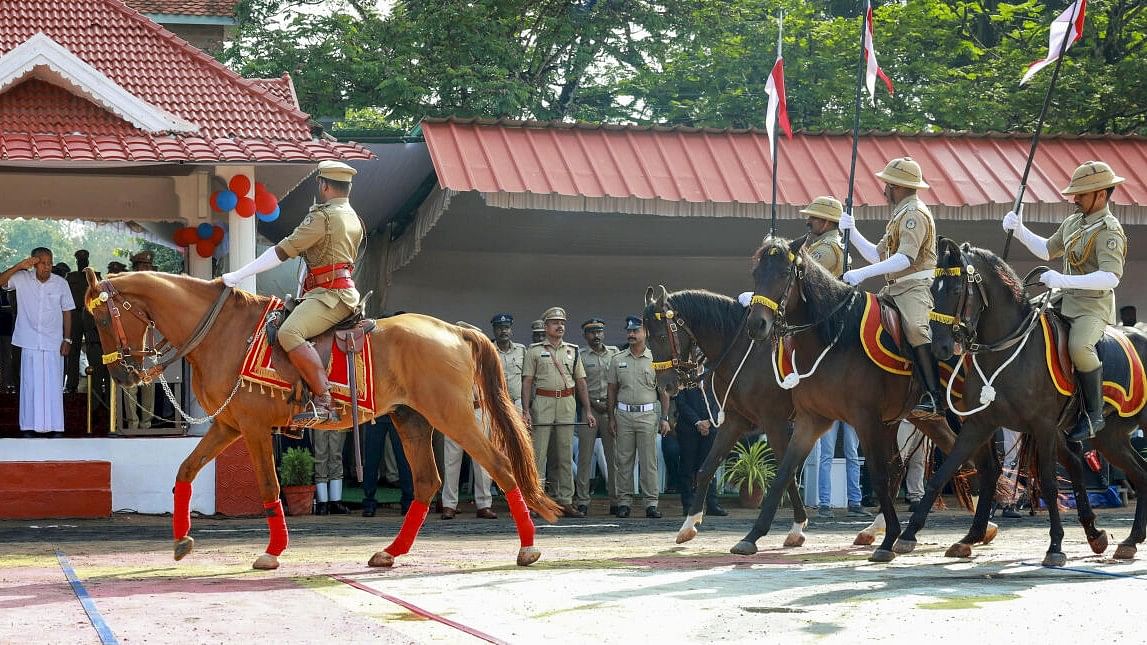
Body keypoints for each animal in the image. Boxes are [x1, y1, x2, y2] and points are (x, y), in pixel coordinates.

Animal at [84, 266, 559, 566]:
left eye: (103, 318)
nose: (120, 374)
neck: (223, 332)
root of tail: (454, 329)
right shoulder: (227, 424)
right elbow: (185, 470)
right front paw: (182, 539)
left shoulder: (254, 428)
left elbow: (269, 487)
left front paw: (272, 551)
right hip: (411, 419)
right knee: (427, 482)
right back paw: (390, 552)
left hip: (453, 415)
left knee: (500, 466)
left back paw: (527, 548)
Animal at [890, 239, 1142, 562]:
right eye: (933, 288)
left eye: (957, 289)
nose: (940, 347)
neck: (1006, 349)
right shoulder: (979, 424)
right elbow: (944, 473)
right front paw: (910, 535)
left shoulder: (1043, 426)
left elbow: (1048, 483)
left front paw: (1055, 546)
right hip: (1108, 436)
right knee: (1130, 472)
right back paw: (1122, 539)